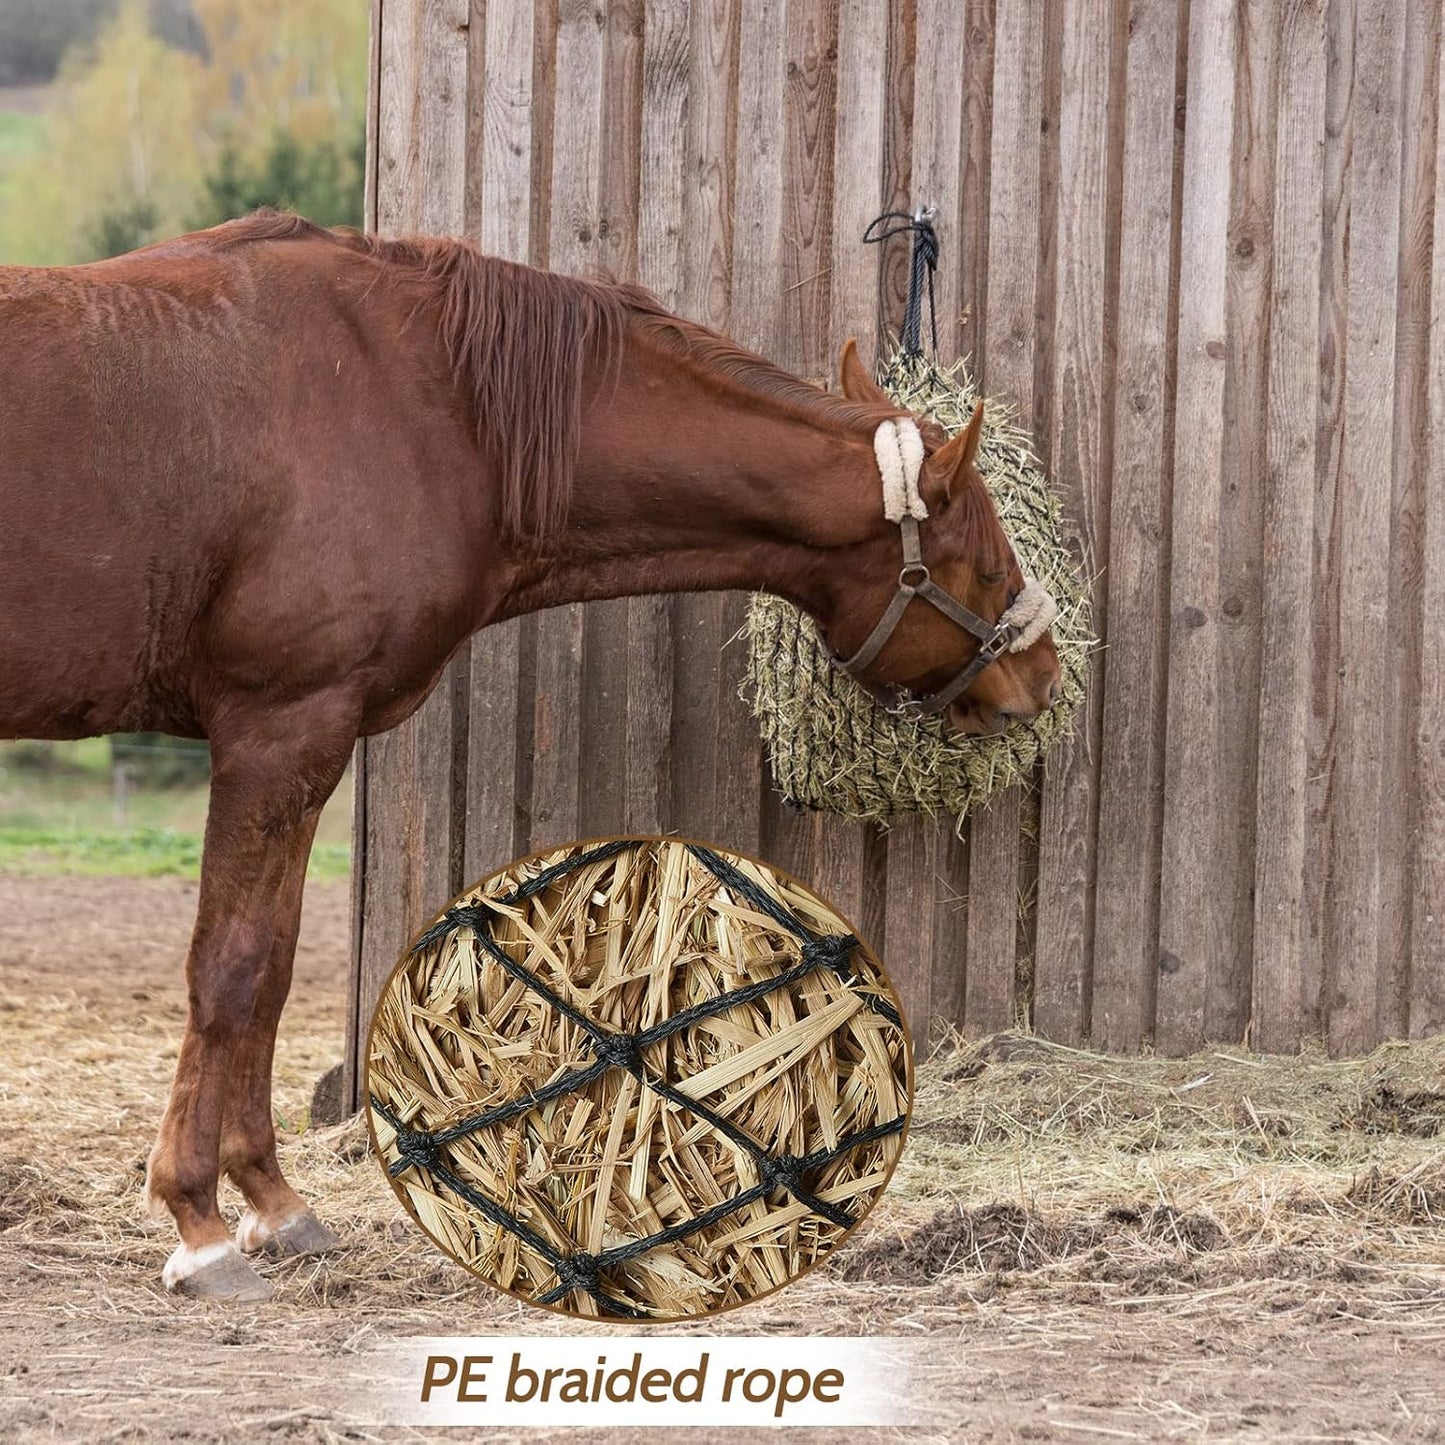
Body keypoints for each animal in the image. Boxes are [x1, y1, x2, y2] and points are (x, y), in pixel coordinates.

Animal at [0, 211, 1061, 1300]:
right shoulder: (279, 728)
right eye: (983, 564)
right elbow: (233, 968)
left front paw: (273, 1202)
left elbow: (276, 963)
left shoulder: (300, 746)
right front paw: (199, 1223)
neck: (423, 403)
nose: (1041, 679)